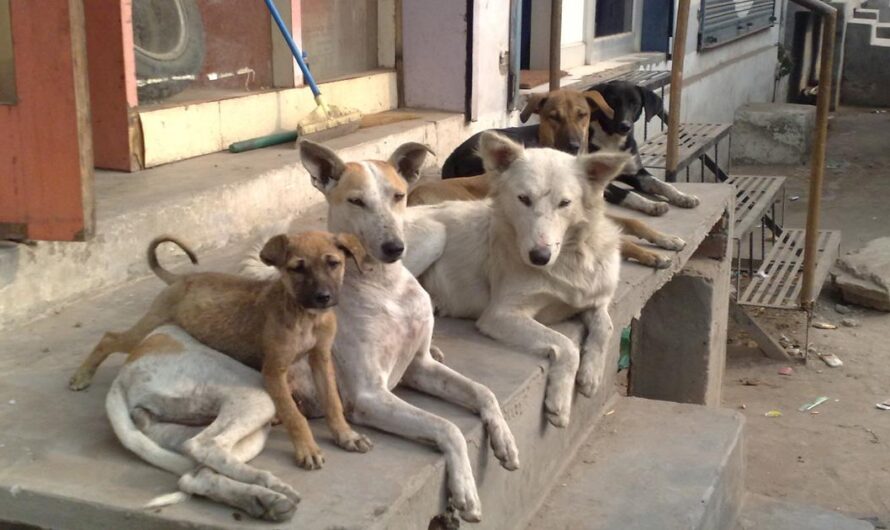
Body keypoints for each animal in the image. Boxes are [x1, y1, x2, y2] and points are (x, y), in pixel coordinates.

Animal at [69, 230, 372, 466]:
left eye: (333, 263)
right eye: (297, 268)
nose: (323, 297)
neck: (305, 316)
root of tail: (179, 279)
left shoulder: (320, 359)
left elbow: (332, 401)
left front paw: (346, 435)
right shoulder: (274, 371)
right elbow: (293, 414)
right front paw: (307, 449)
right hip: (149, 324)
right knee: (109, 338)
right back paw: (81, 376)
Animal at [243, 141, 520, 520]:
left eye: (398, 196)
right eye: (356, 201)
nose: (394, 248)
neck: (386, 287)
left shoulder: (418, 367)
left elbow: (483, 391)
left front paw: (504, 441)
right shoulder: (370, 396)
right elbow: (446, 426)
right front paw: (464, 490)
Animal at [402, 132, 624, 424]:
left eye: (564, 203)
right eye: (524, 199)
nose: (539, 256)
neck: (567, 260)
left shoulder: (591, 299)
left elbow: (605, 326)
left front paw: (591, 375)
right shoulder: (500, 314)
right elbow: (566, 345)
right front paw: (559, 401)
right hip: (433, 235)